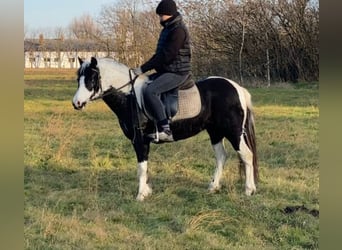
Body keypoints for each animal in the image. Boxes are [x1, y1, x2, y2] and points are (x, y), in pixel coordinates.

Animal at [73, 57, 260, 201]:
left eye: (91, 79)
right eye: (78, 79)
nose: (76, 103)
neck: (130, 97)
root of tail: (237, 88)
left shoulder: (139, 140)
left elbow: (141, 168)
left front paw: (141, 195)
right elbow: (144, 167)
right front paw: (147, 191)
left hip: (233, 132)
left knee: (246, 155)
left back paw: (249, 190)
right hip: (215, 132)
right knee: (221, 156)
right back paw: (213, 186)